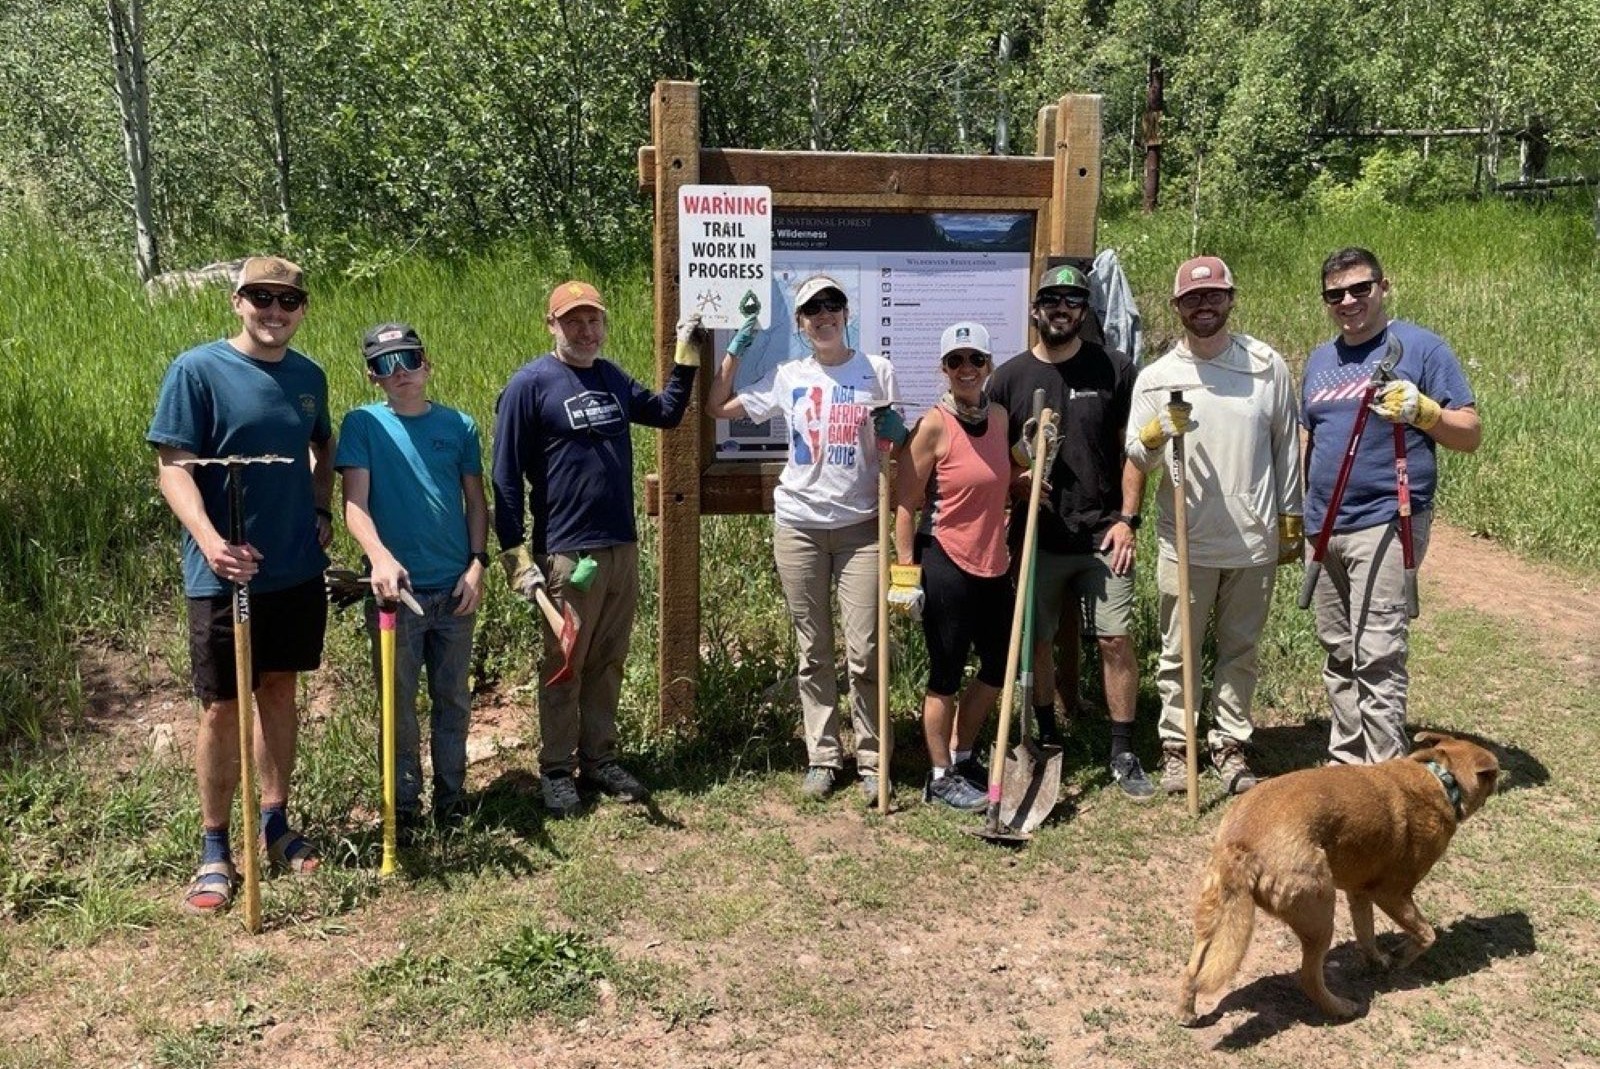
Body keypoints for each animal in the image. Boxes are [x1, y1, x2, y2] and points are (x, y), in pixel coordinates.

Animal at [1177, 729, 1497, 1024]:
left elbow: (1366, 934)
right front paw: (1402, 958)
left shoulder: (1360, 893)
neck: (1441, 778)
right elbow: (1426, 933)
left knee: (1193, 968)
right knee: (1309, 978)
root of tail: (1242, 845)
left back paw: (1186, 1012)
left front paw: (1378, 961)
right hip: (1320, 915)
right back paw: (1341, 1009)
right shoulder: (1393, 894)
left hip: (1213, 915)